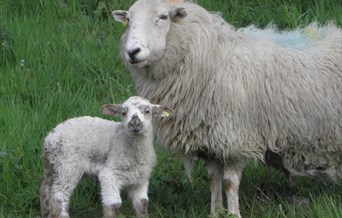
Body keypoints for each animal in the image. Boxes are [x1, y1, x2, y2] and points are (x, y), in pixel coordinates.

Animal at [40, 96, 174, 218]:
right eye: (123, 113)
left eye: (147, 111)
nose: (135, 123)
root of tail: (50, 138)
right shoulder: (109, 174)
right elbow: (113, 205)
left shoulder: (140, 178)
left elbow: (142, 204)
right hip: (68, 166)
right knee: (59, 196)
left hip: (53, 166)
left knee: (46, 191)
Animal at [113, 0, 342, 216]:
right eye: (129, 20)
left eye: (163, 17)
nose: (132, 52)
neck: (211, 59)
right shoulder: (209, 141)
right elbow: (214, 179)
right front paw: (215, 212)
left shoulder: (235, 139)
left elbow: (230, 183)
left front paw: (233, 213)